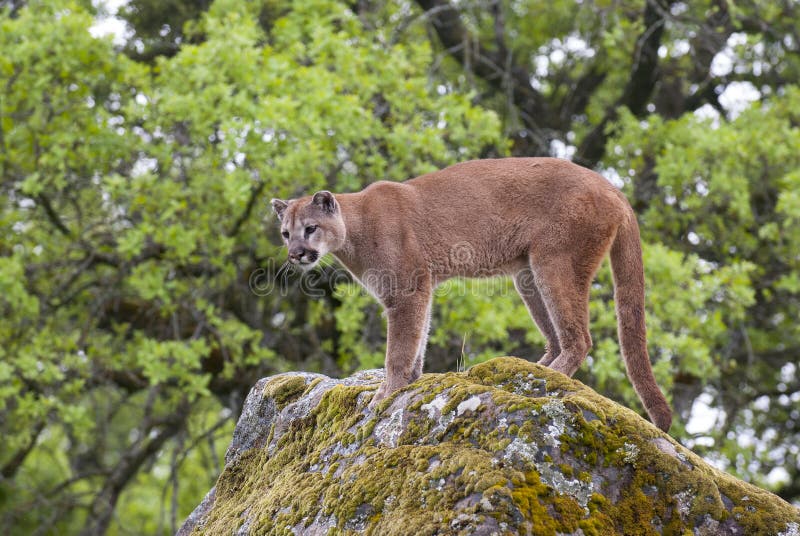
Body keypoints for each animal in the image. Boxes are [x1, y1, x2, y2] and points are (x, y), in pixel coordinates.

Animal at [272, 158, 672, 432]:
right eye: (285, 233)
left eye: (311, 228)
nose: (296, 254)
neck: (353, 231)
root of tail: (612, 186)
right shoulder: (422, 287)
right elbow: (419, 337)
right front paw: (412, 380)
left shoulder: (407, 288)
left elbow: (399, 347)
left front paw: (387, 392)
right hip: (527, 274)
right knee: (558, 335)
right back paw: (532, 367)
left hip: (555, 261)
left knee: (581, 338)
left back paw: (548, 378)